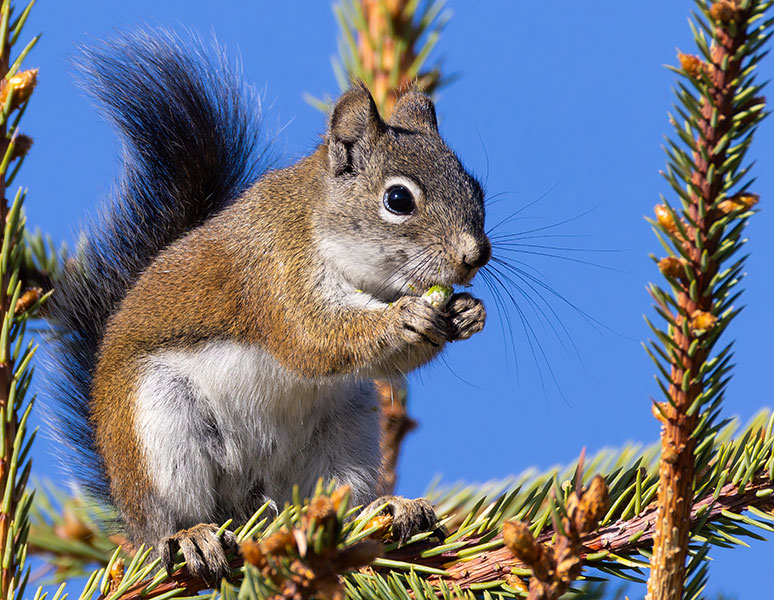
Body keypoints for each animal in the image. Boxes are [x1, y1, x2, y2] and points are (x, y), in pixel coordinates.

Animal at [47, 29, 490, 583]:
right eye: (398, 200)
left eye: (475, 187)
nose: (475, 255)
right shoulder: (275, 277)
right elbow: (313, 338)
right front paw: (404, 316)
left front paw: (469, 313)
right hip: (160, 432)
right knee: (166, 525)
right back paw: (190, 539)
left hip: (346, 434)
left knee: (335, 503)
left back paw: (386, 508)